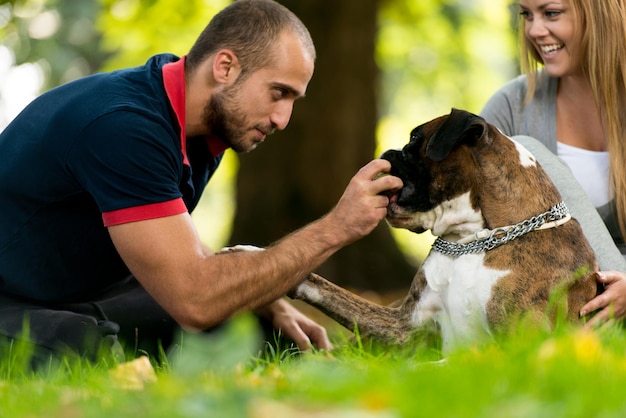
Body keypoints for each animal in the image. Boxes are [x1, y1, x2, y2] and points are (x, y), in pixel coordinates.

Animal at [286, 108, 596, 352]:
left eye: (414, 139)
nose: (386, 152)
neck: (474, 241)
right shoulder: (403, 323)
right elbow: (327, 291)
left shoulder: (526, 340)